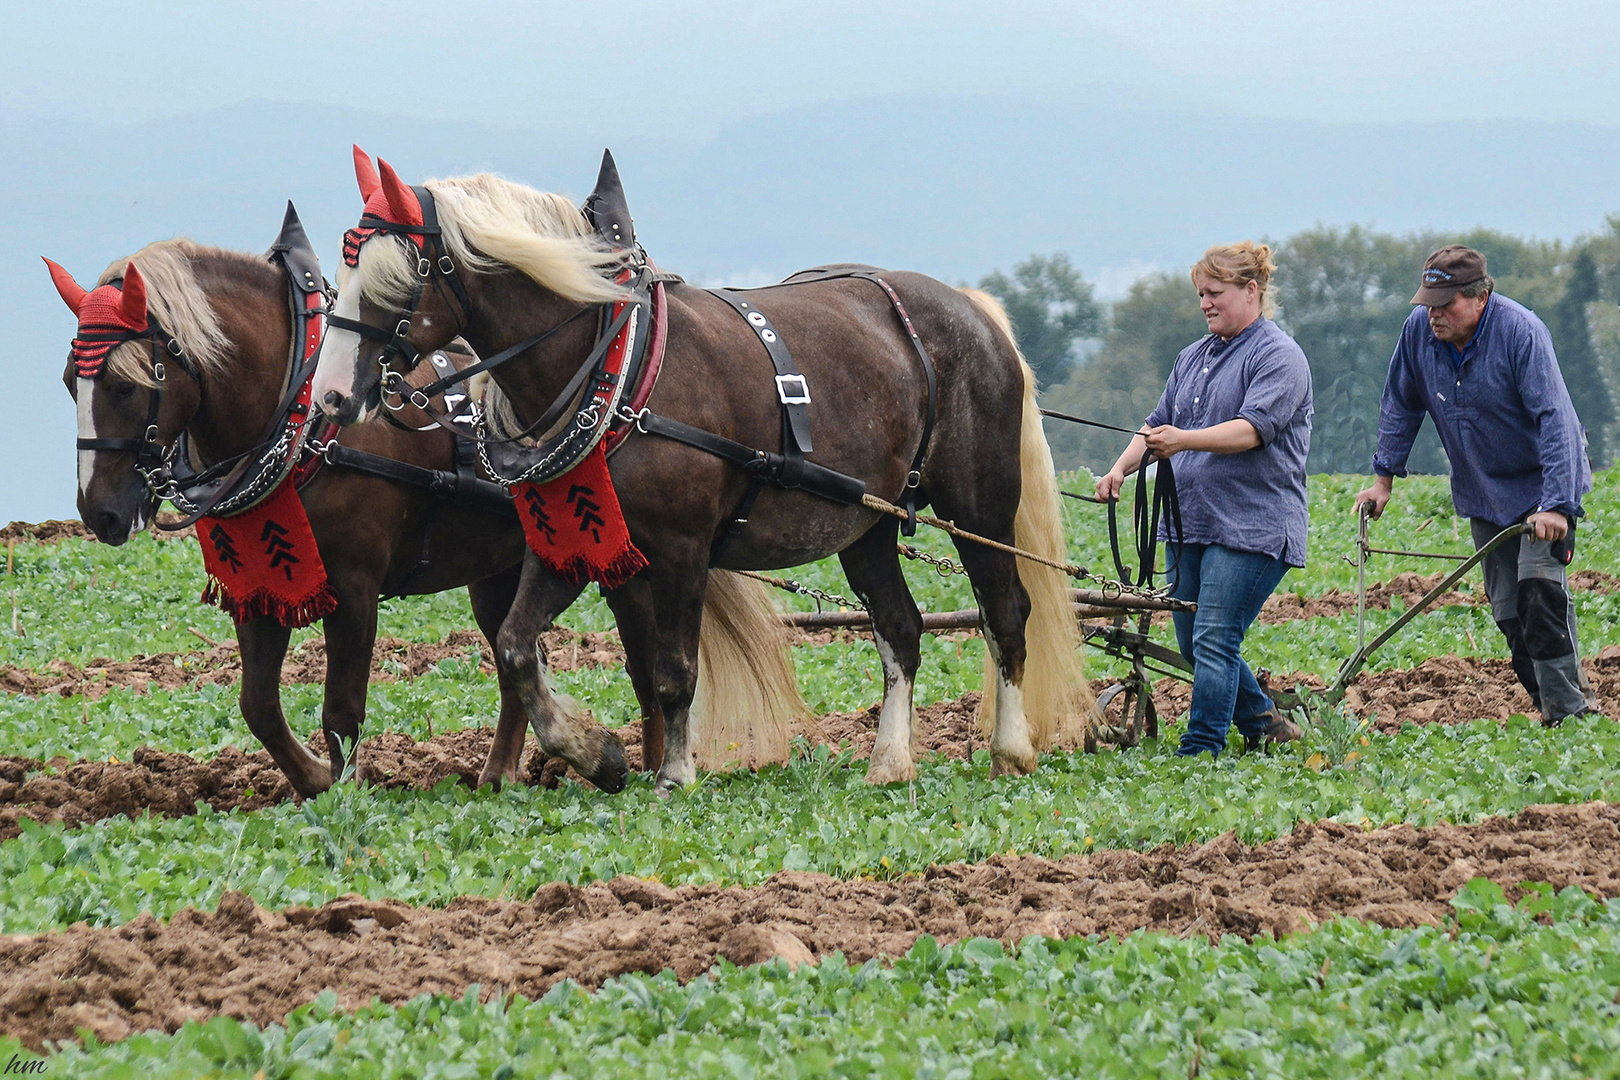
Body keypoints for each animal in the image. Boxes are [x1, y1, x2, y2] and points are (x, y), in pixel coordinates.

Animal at [53, 226, 800, 793]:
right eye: (68, 381)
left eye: (126, 384)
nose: (100, 514)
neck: (300, 415)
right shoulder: (261, 585)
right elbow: (259, 705)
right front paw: (312, 783)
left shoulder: (354, 586)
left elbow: (342, 708)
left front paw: (343, 792)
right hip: (500, 572)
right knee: (516, 666)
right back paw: (499, 779)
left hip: (625, 559)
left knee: (646, 666)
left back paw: (642, 765)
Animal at [307, 158, 1082, 793]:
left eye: (402, 276)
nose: (333, 397)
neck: (612, 373)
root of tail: (970, 306)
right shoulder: (569, 541)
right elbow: (517, 648)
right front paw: (597, 754)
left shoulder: (681, 548)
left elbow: (675, 669)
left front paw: (675, 773)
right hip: (867, 522)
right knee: (901, 627)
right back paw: (890, 762)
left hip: (978, 505)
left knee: (1005, 612)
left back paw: (1011, 750)